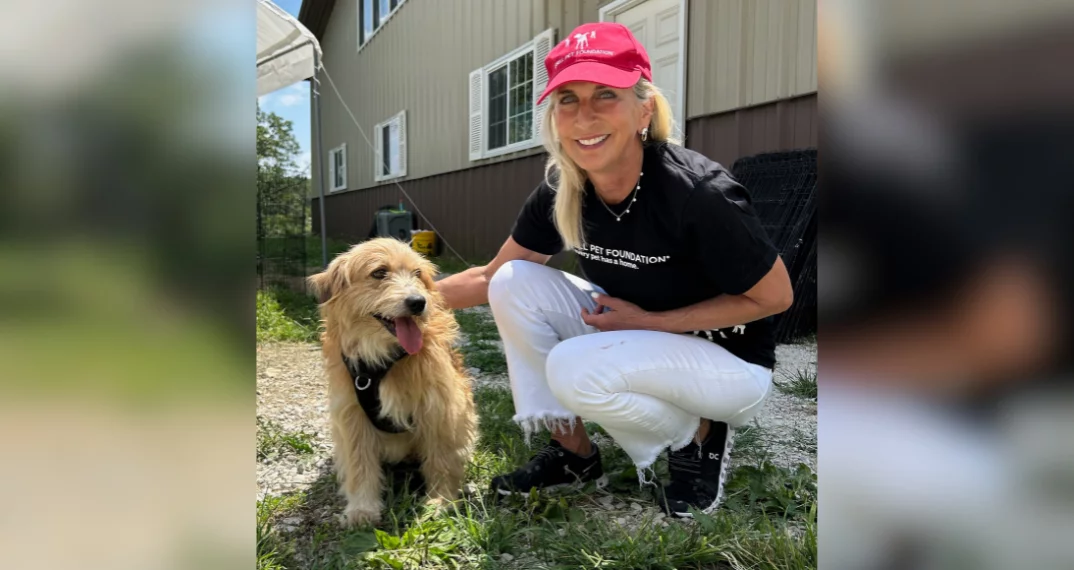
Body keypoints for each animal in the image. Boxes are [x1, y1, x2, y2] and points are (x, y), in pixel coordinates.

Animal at [311, 238, 479, 528]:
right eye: (379, 272)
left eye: (417, 273)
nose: (418, 302)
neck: (385, 357)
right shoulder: (352, 415)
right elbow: (360, 463)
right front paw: (363, 508)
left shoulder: (438, 409)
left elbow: (441, 459)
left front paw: (441, 501)